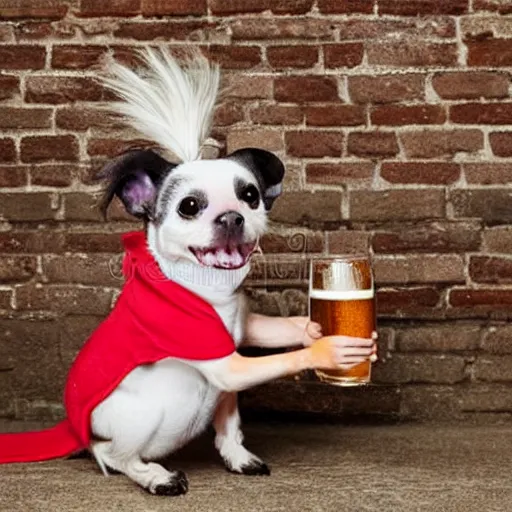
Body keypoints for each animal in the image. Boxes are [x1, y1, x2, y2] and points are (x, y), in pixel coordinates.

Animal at [76, 50, 374, 494]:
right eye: (189, 206)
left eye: (250, 195)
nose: (233, 216)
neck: (212, 293)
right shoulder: (224, 363)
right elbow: (271, 362)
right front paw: (326, 349)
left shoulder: (244, 328)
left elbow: (268, 333)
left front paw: (311, 329)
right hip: (138, 420)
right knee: (111, 456)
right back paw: (154, 476)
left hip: (221, 401)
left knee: (226, 427)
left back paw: (237, 456)